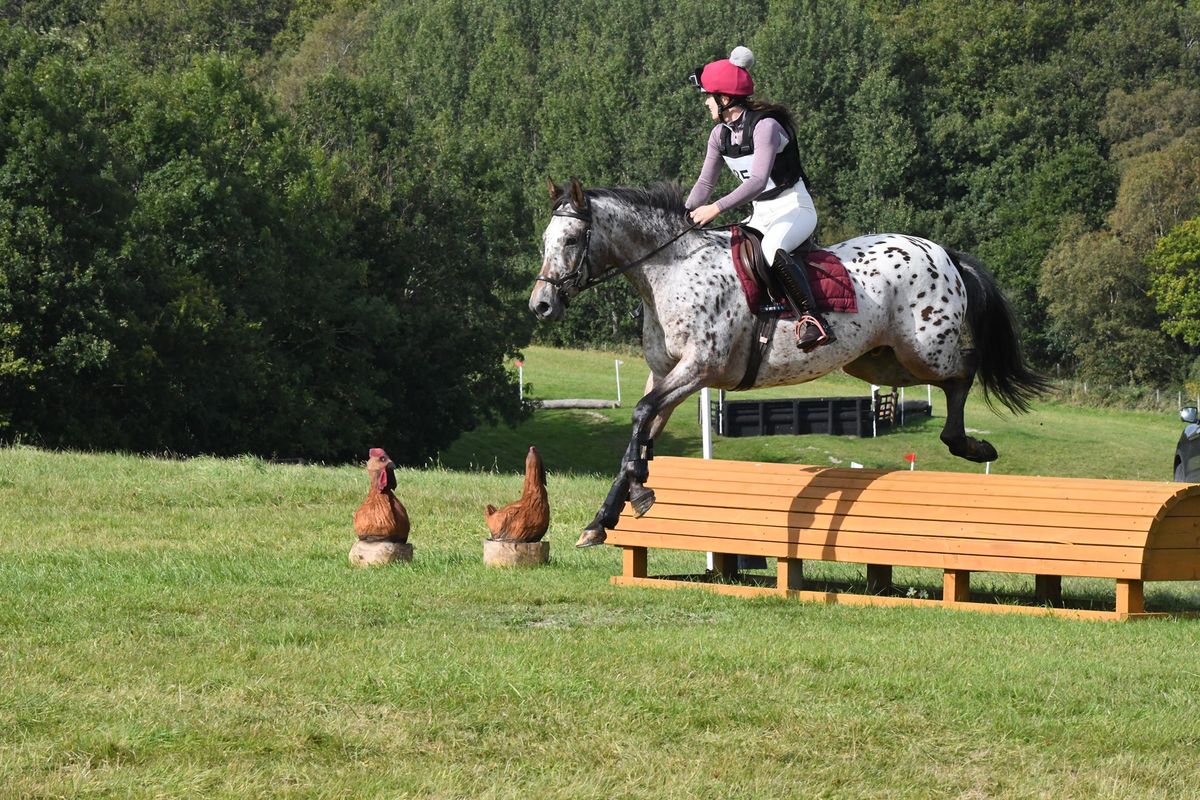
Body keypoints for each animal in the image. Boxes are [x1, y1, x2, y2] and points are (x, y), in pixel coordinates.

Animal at [530, 178, 1046, 546]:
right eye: (545, 239)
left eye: (572, 239)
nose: (540, 305)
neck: (671, 271)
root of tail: (944, 252)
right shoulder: (665, 375)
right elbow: (640, 432)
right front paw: (607, 516)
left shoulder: (700, 369)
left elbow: (640, 417)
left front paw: (637, 490)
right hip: (876, 362)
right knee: (943, 378)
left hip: (925, 349)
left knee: (965, 368)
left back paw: (970, 446)